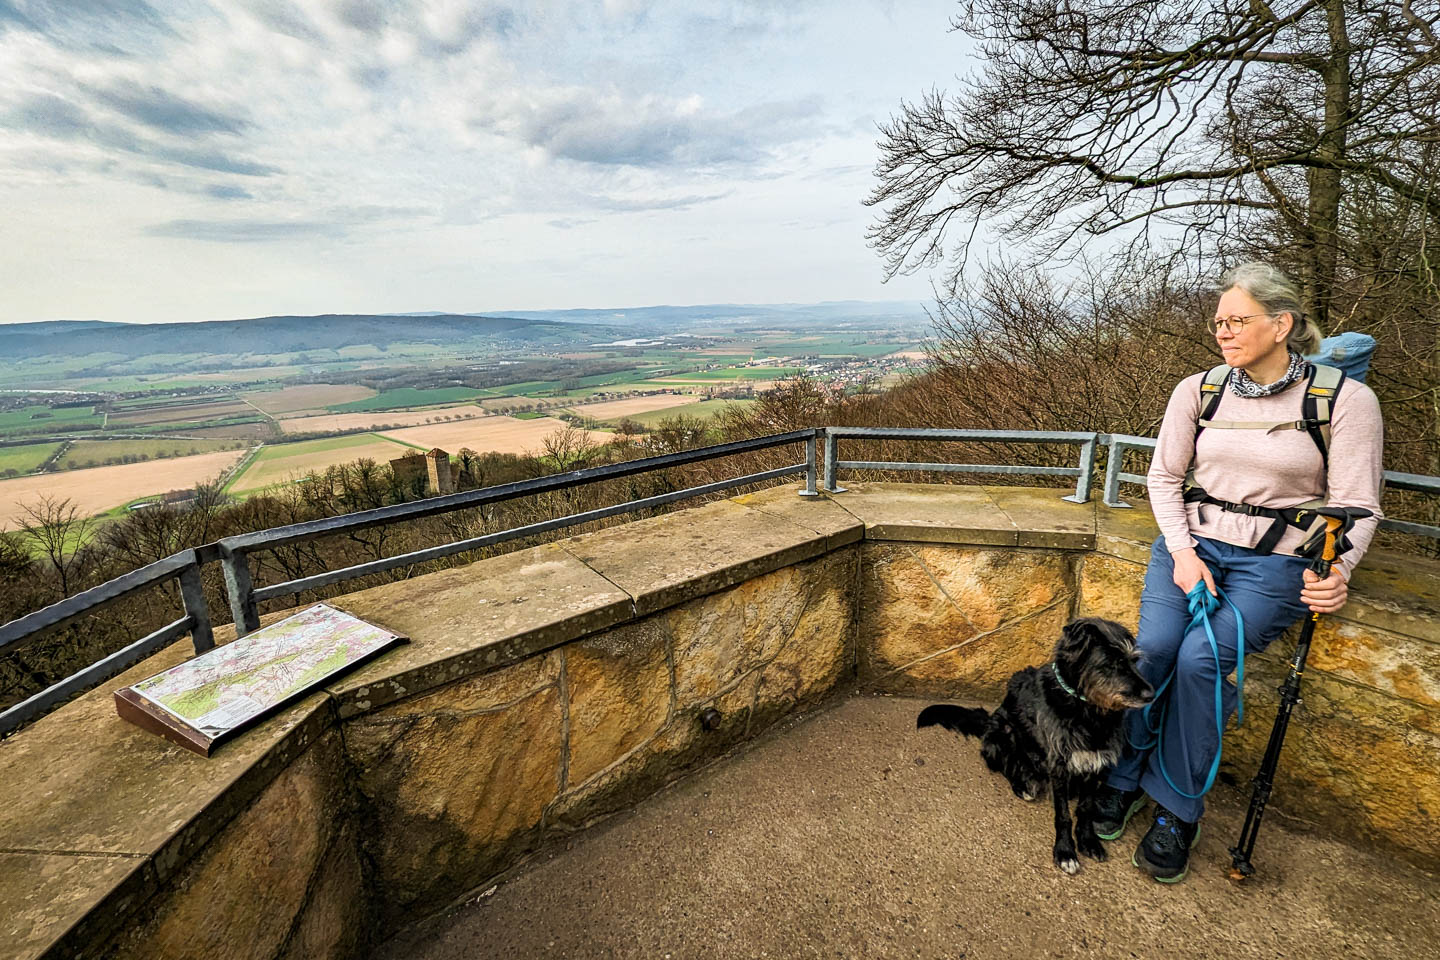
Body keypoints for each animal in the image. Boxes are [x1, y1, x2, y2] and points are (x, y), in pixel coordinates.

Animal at [915, 618, 1152, 875]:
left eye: (1134, 661)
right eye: (1112, 663)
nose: (1151, 694)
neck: (1086, 710)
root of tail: (988, 721)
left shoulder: (1096, 761)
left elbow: (1086, 808)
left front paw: (1088, 841)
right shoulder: (1058, 765)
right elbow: (1063, 815)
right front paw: (1065, 851)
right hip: (1003, 733)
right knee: (1006, 766)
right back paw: (1023, 785)